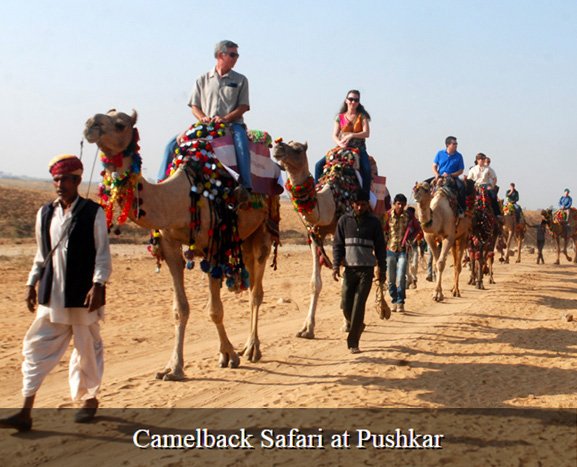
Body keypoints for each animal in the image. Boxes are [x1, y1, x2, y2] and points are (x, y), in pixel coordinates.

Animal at [84, 109, 280, 380]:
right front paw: (173, 367)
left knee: (256, 292)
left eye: (120, 123)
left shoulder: (213, 245)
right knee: (250, 277)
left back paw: (252, 348)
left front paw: (230, 355)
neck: (182, 195)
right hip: (243, 238)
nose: (90, 124)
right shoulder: (170, 245)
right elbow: (181, 308)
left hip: (263, 229)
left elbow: (214, 309)